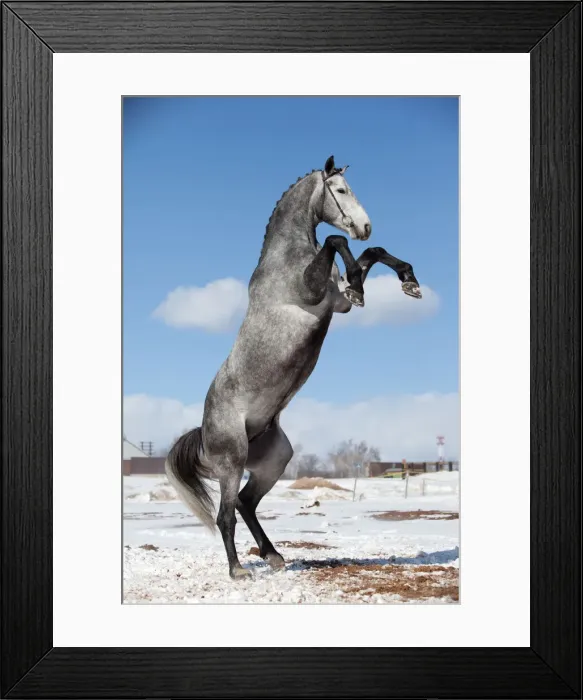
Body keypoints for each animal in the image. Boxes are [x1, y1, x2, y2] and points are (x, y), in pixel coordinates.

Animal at [166, 155, 422, 579]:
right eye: (340, 190)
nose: (365, 226)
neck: (287, 255)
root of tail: (203, 432)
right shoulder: (316, 293)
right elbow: (337, 242)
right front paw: (362, 282)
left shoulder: (337, 303)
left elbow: (371, 254)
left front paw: (408, 281)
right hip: (232, 462)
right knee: (225, 514)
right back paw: (239, 571)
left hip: (274, 460)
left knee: (245, 503)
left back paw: (274, 556)